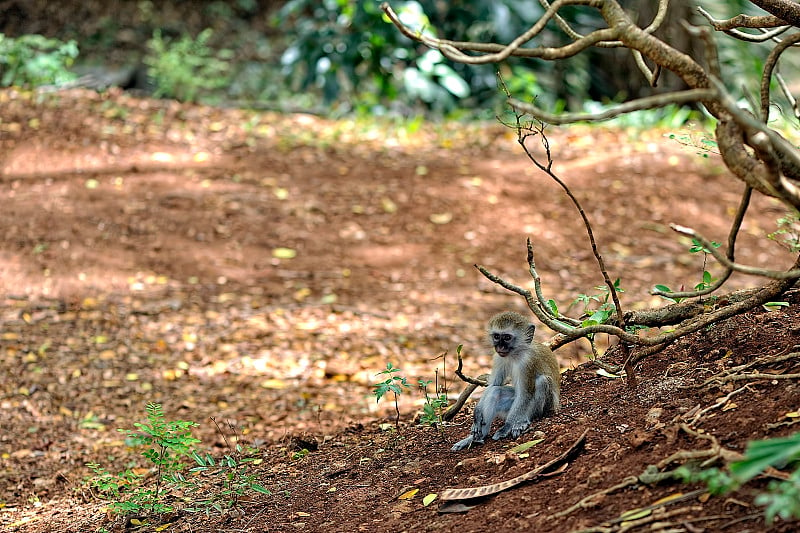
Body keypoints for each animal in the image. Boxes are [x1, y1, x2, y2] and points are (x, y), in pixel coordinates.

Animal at [450, 312, 564, 448]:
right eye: (496, 336)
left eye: (507, 337)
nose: (500, 347)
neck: (516, 354)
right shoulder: (499, 357)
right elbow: (494, 384)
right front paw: (477, 413)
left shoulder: (528, 362)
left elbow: (526, 394)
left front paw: (507, 426)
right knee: (495, 391)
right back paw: (477, 437)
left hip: (546, 406)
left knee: (542, 381)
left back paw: (523, 421)